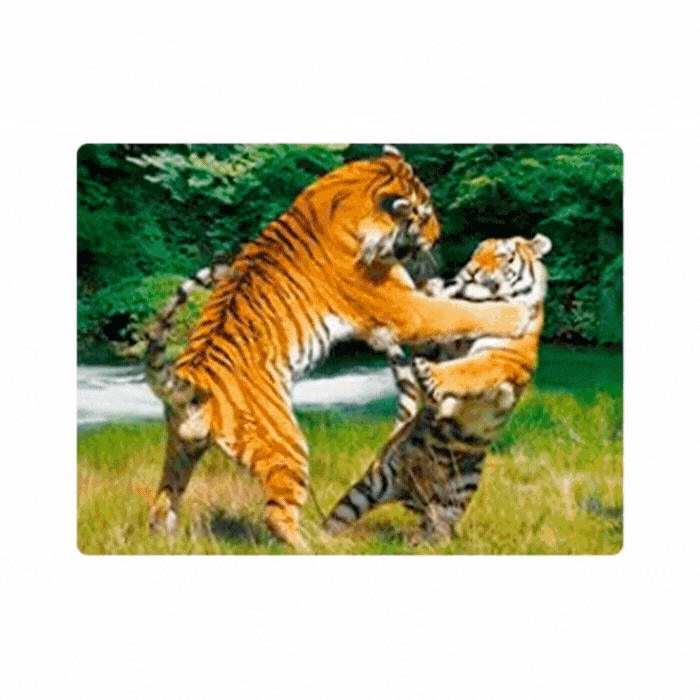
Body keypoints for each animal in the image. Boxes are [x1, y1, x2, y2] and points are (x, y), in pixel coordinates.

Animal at [322, 234, 552, 543]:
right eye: (477, 252)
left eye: (502, 256)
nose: (471, 272)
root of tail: (412, 494)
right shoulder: (443, 346)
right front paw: (430, 289)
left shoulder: (502, 359)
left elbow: (468, 369)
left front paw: (429, 376)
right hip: (368, 486)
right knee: (339, 516)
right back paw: (318, 539)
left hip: (457, 493)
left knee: (439, 528)